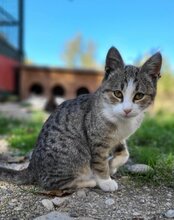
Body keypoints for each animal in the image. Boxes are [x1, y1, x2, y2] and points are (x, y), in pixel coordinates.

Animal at [0, 47, 162, 192]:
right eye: (117, 93)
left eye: (139, 95)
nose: (127, 110)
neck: (122, 121)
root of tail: (32, 167)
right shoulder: (97, 139)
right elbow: (99, 162)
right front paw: (105, 180)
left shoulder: (118, 137)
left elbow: (125, 154)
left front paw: (112, 165)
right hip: (72, 154)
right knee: (51, 183)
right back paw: (89, 181)